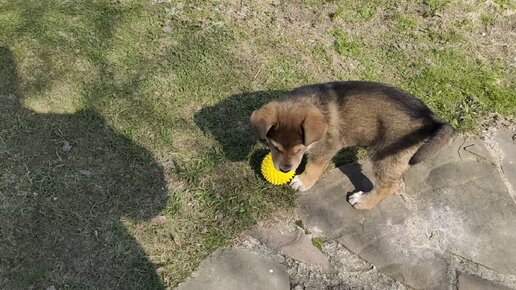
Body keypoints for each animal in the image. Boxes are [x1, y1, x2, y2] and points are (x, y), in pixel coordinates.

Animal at [252, 80, 454, 210]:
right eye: (275, 146)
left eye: (299, 149)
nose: (284, 170)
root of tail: (430, 120)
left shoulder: (328, 146)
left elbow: (314, 166)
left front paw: (303, 182)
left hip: (384, 156)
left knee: (389, 186)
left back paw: (362, 202)